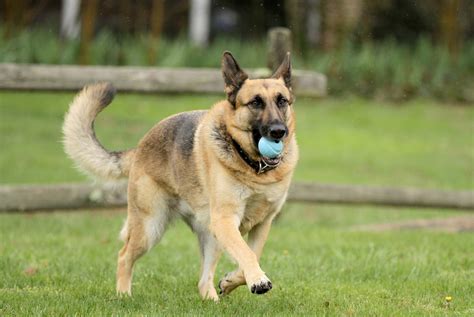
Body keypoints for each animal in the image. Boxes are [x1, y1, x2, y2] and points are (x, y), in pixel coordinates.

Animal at [62, 51, 298, 298]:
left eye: (282, 101)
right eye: (255, 103)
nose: (279, 132)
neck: (254, 168)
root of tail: (140, 147)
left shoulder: (262, 224)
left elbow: (251, 256)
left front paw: (231, 281)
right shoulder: (226, 220)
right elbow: (247, 253)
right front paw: (258, 280)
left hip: (210, 236)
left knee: (203, 280)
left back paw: (211, 299)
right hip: (150, 227)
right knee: (124, 256)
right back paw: (123, 295)